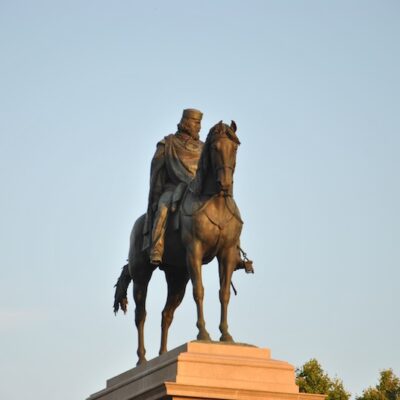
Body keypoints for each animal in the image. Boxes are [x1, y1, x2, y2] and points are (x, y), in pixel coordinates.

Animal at [114, 120, 245, 364]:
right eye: (215, 148)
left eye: (234, 148)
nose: (225, 183)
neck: (215, 202)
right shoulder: (194, 252)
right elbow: (199, 290)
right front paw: (203, 334)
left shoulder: (227, 254)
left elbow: (223, 293)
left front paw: (226, 335)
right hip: (141, 275)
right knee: (140, 314)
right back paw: (142, 359)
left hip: (177, 277)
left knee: (166, 314)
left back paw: (163, 353)